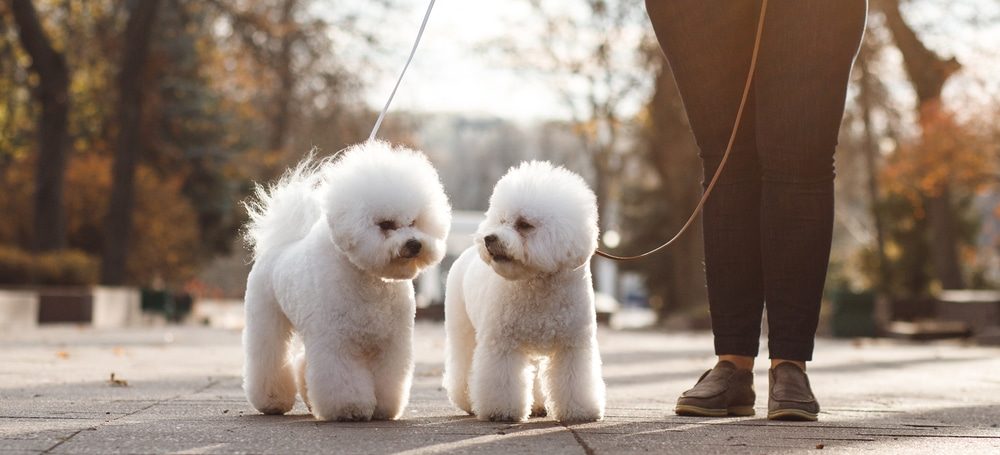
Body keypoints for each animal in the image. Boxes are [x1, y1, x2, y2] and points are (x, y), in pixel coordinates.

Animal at [241, 141, 450, 422]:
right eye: (386, 224)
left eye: (415, 222)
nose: (415, 244)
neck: (370, 281)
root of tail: (280, 244)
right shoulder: (335, 342)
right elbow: (343, 379)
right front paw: (350, 408)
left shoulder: (391, 343)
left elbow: (389, 378)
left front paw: (384, 408)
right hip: (267, 318)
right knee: (268, 356)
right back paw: (272, 401)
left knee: (303, 362)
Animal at [442, 161, 604, 424]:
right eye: (501, 219)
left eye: (524, 224)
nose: (489, 239)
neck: (538, 283)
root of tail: (465, 254)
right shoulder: (502, 343)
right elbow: (502, 379)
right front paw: (502, 412)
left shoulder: (573, 345)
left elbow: (574, 379)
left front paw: (580, 411)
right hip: (462, 329)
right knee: (463, 364)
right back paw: (468, 402)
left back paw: (537, 406)